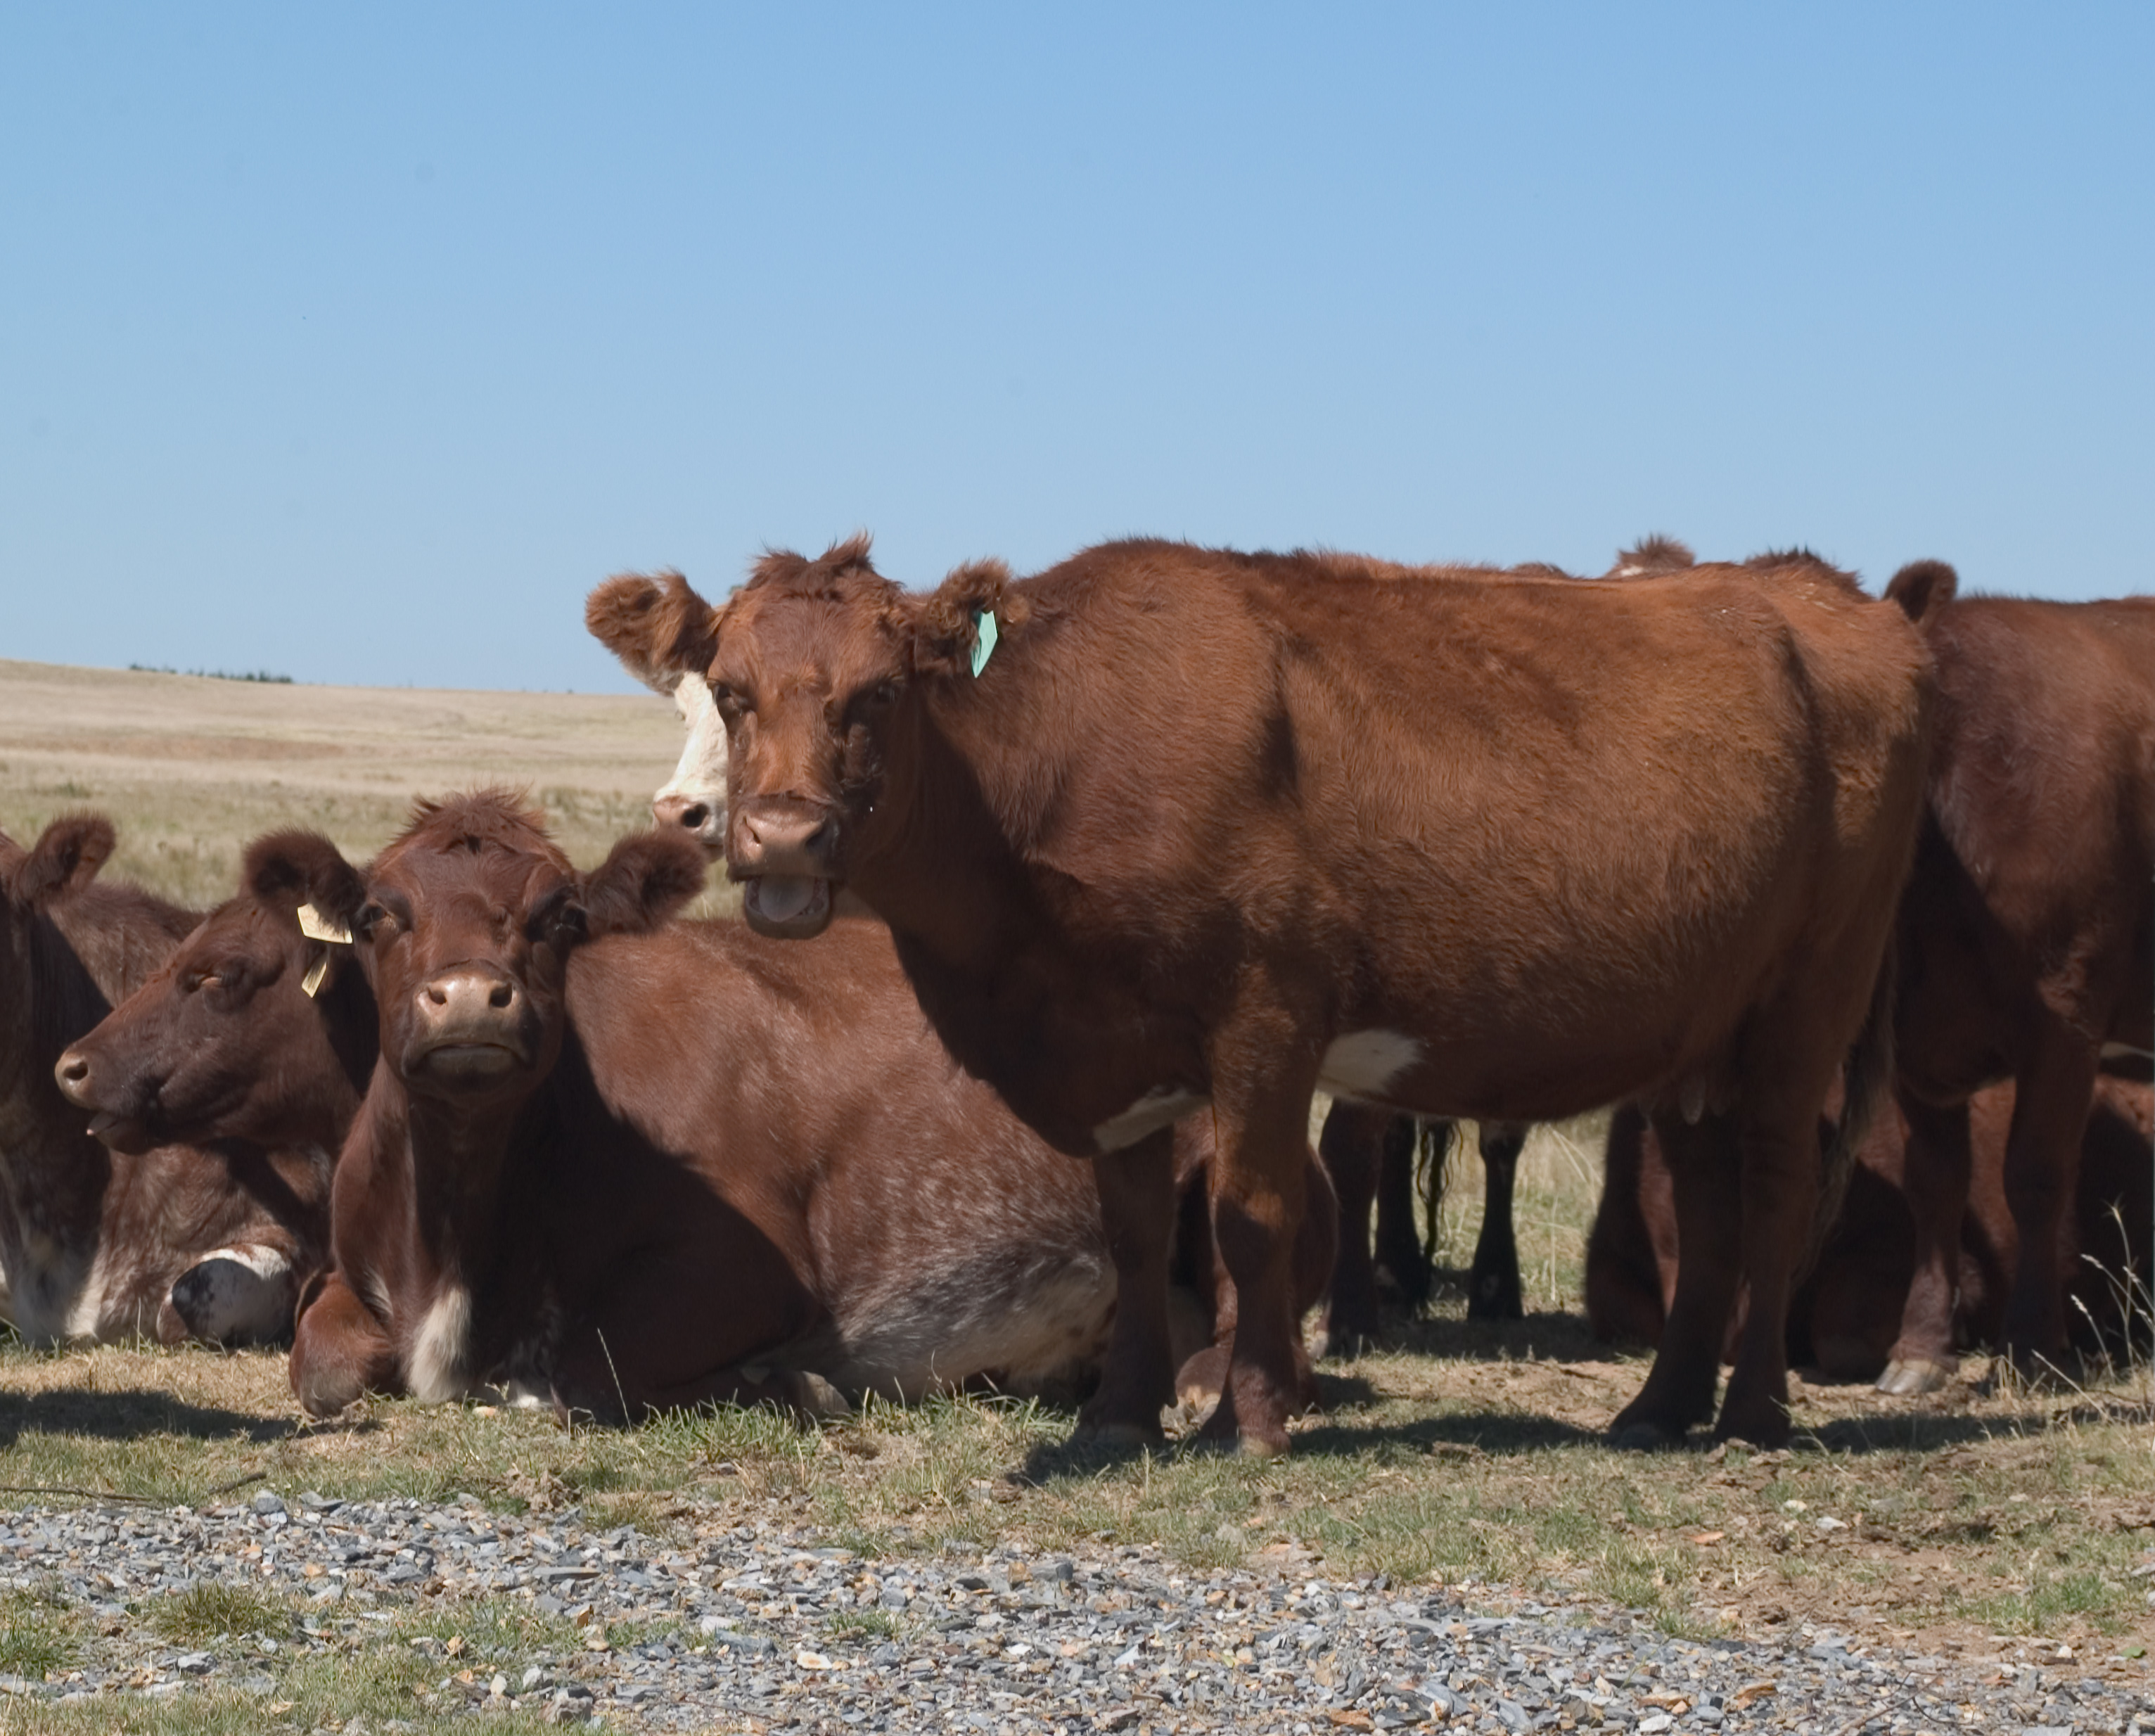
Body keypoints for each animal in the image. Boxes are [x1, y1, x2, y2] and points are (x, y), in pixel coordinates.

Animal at [273, 791, 1333, 1422]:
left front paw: (790, 1378)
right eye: (377, 914)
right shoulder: (351, 1268)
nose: (467, 999)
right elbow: (319, 1366)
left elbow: (577, 1372)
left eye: (560, 917)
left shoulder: (752, 1270)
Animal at [652, 534, 1933, 1452]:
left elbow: (1249, 1213)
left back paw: (1753, 1414)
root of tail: (1826, 596)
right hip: (1696, 1032)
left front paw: (1249, 1413)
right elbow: (1131, 1234)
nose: (778, 837)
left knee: (1772, 1192)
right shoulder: (1114, 1056)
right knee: (1708, 1206)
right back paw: (1659, 1408)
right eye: (729, 690)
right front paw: (1117, 1417)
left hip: (1804, 1008)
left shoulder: (1263, 1017)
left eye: (877, 694)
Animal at [1875, 562, 2155, 1392]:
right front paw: (1920, 1347)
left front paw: (2034, 1344)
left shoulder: (2066, 1011)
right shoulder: (1912, 1039)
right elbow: (1935, 1181)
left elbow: (2033, 1175)